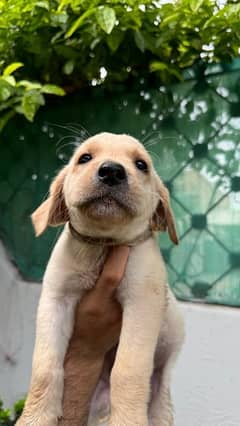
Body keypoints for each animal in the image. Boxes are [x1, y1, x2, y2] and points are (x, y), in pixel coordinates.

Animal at [16, 132, 185, 426]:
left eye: (141, 165)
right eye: (84, 158)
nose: (112, 171)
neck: (103, 246)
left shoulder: (142, 305)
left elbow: (128, 368)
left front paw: (128, 420)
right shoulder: (55, 300)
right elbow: (45, 365)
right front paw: (35, 418)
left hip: (162, 387)